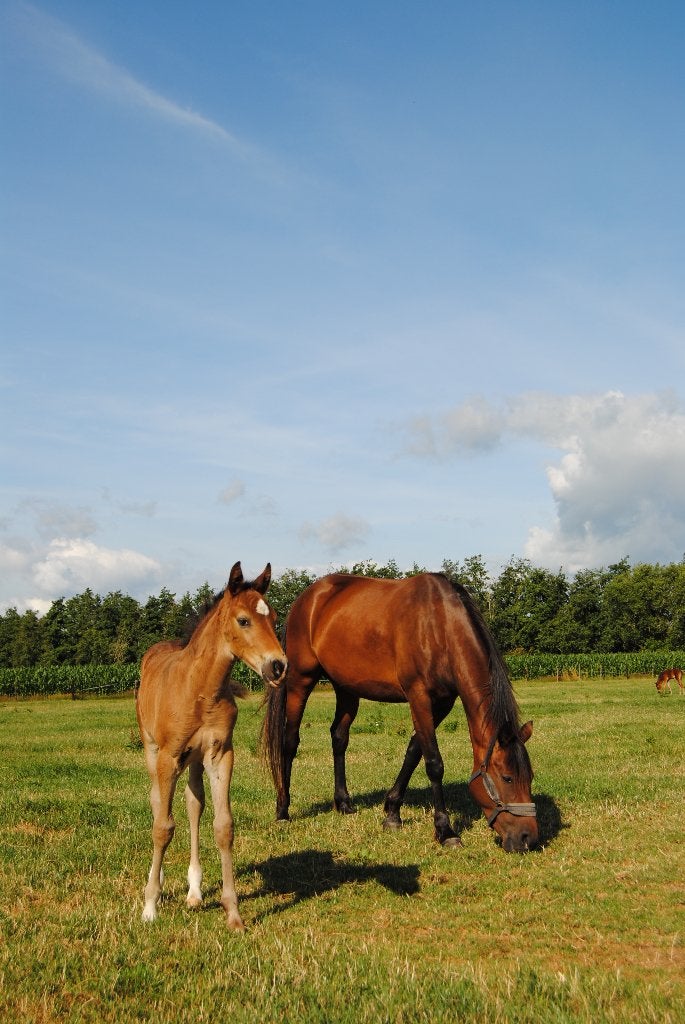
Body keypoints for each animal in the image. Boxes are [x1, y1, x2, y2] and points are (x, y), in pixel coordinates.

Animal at [136, 562, 287, 930]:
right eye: (243, 620)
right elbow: (162, 826)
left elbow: (223, 826)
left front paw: (233, 912)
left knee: (194, 804)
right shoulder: (169, 756)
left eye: (274, 617)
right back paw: (159, 882)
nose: (278, 666)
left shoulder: (220, 755)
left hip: (194, 760)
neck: (201, 689)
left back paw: (194, 891)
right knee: (157, 802)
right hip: (152, 750)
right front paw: (150, 906)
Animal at [261, 572, 538, 853]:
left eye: (530, 777)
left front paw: (392, 812)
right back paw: (283, 810)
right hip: (300, 681)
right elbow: (433, 763)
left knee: (339, 737)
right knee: (290, 741)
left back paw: (343, 803)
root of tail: (307, 597)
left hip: (346, 688)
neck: (438, 625)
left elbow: (414, 751)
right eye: (507, 778)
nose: (528, 838)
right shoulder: (419, 697)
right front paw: (445, 830)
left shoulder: (443, 702)